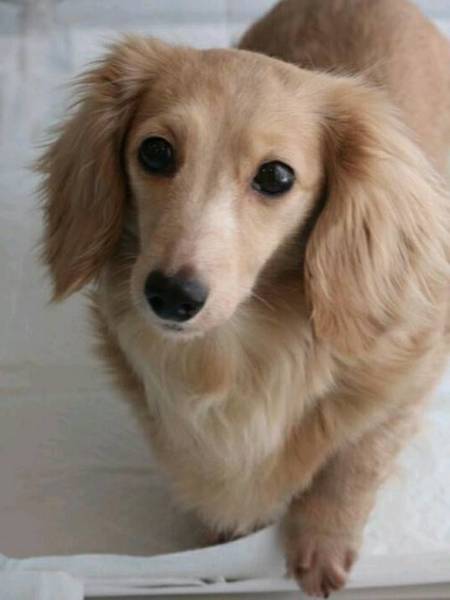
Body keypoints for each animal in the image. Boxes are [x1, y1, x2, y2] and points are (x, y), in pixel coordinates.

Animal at [37, 0, 450, 596]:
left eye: (276, 175)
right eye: (154, 152)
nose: (170, 295)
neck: (240, 356)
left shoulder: (410, 378)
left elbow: (353, 463)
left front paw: (322, 541)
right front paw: (220, 548)